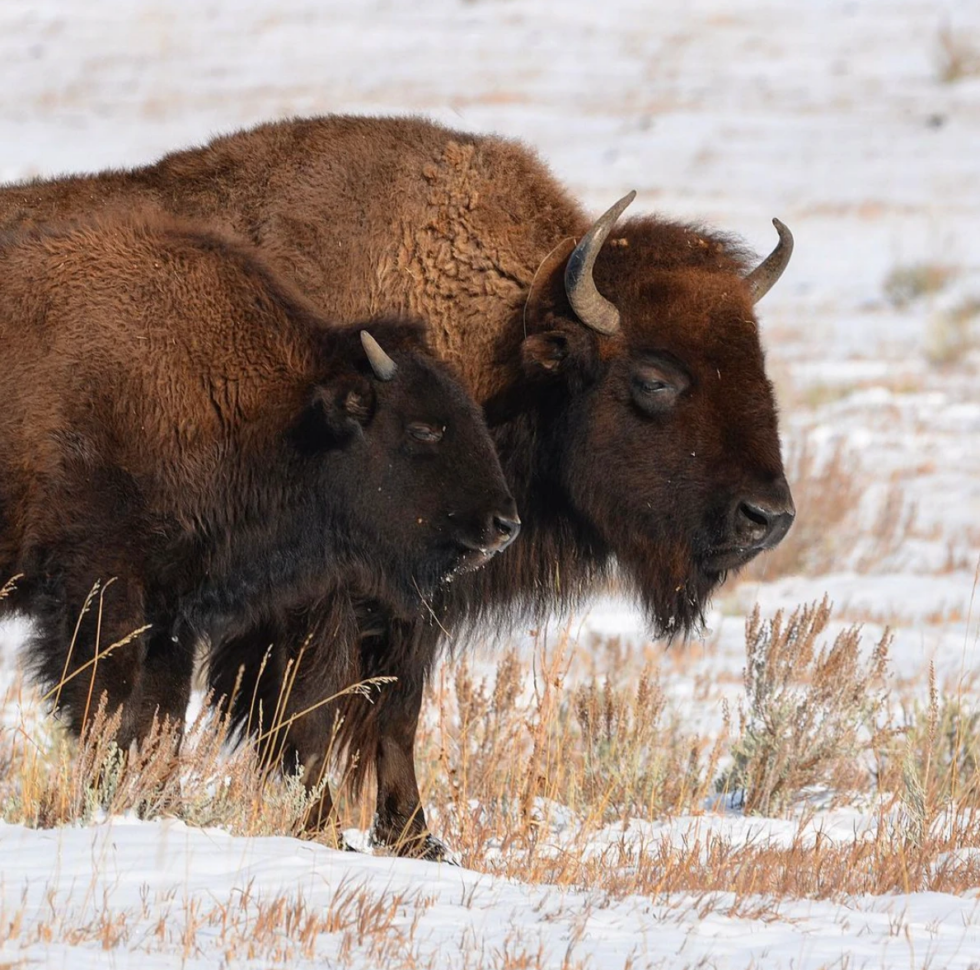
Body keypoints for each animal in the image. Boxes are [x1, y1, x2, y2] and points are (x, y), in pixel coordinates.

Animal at [0, 212, 516, 780]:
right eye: (424, 429)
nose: (504, 524)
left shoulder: (172, 612)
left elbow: (157, 716)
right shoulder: (101, 588)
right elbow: (107, 707)